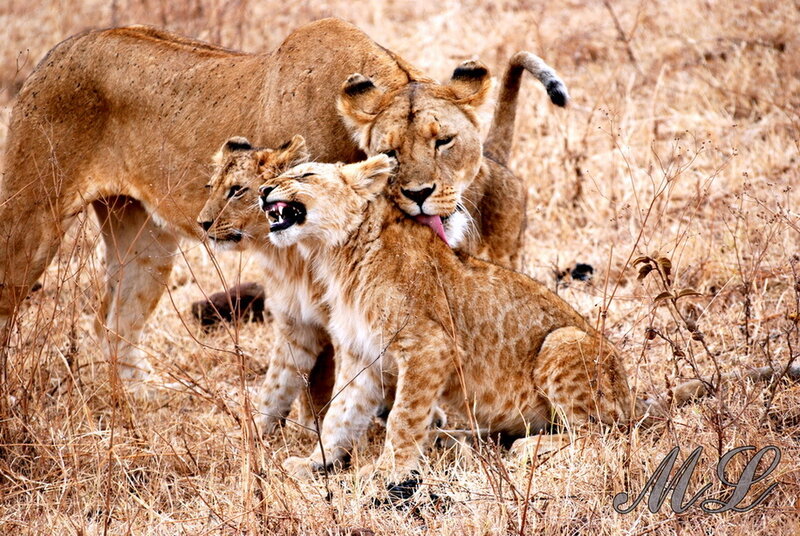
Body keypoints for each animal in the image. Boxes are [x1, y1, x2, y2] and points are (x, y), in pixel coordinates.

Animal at [255, 152, 800, 481]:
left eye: (303, 175)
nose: (262, 191)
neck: (336, 255)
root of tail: (631, 395)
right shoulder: (362, 355)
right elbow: (339, 417)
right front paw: (313, 463)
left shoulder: (427, 347)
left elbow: (403, 420)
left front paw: (385, 473)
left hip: (563, 343)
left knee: (607, 438)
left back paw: (525, 450)